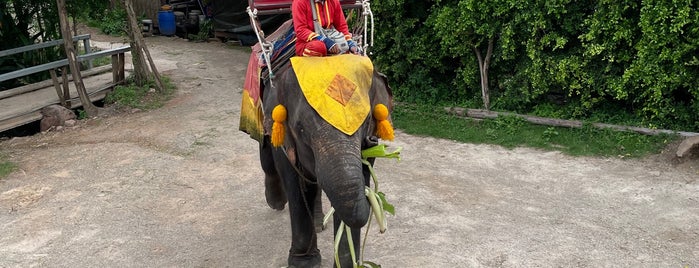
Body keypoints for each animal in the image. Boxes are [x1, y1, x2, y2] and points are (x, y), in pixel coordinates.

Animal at [258, 55, 394, 268]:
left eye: (366, 122)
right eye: (301, 128)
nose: (370, 141)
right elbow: (294, 184)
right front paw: (303, 263)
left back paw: (318, 222)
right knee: (267, 156)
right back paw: (277, 203)